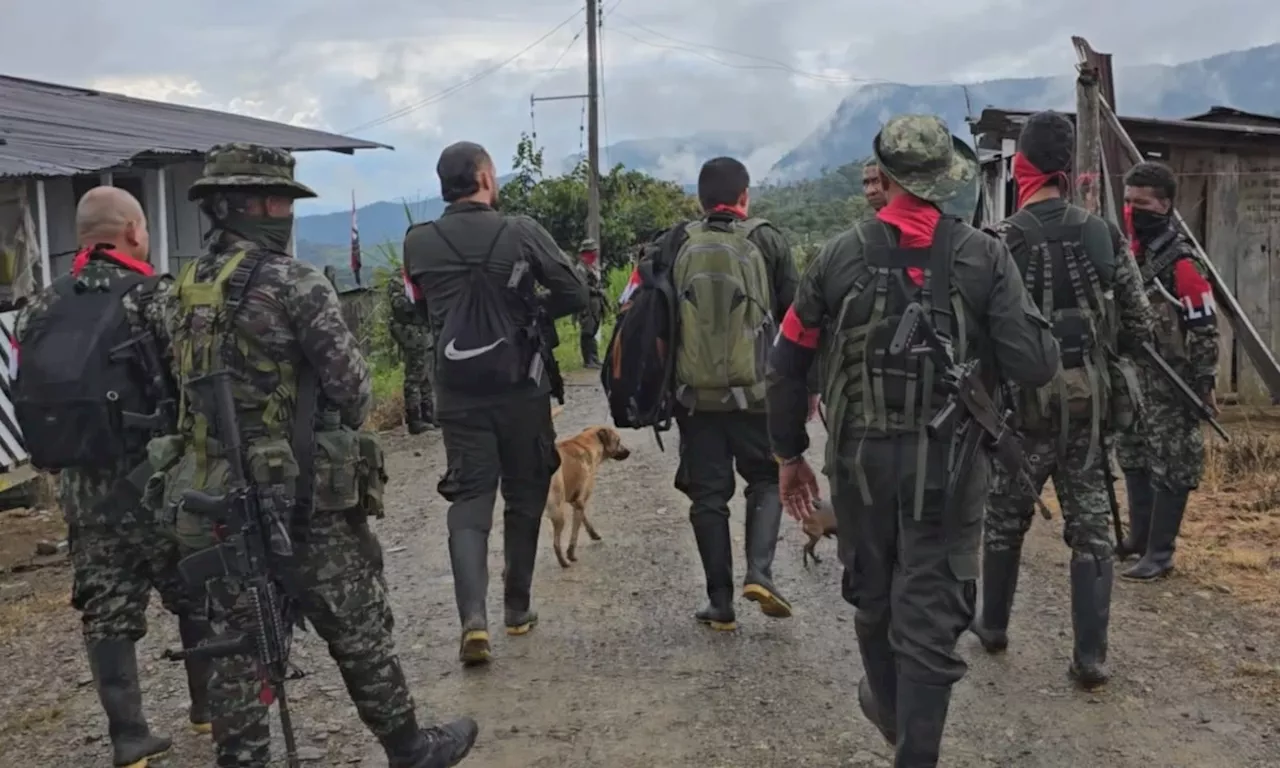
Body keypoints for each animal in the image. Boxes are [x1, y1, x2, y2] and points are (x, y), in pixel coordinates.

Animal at [547, 424, 632, 563]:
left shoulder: (575, 501)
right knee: (556, 543)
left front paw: (593, 534)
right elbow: (575, 533)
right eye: (618, 440)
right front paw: (571, 553)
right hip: (558, 513)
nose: (629, 451)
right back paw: (564, 562)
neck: (585, 444)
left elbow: (584, 519)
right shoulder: (580, 501)